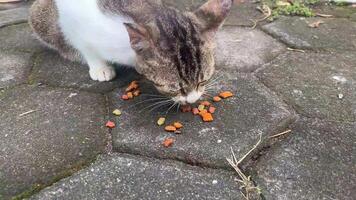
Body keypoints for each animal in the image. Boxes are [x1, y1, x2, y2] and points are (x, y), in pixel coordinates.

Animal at [29, 0, 232, 103]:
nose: (192, 100)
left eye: (203, 81)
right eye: (175, 88)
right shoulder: (73, 20)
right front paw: (99, 67)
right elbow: (86, 47)